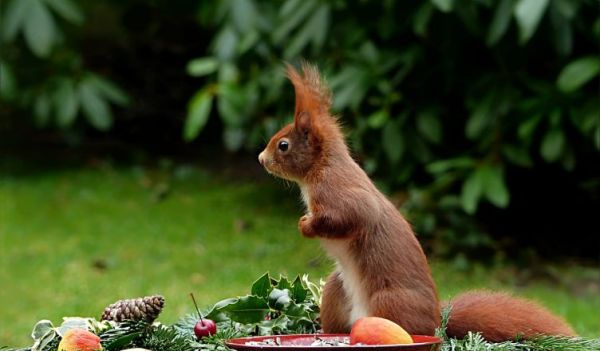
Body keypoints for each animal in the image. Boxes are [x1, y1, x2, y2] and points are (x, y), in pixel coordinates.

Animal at [258, 64, 576, 344]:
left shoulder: (338, 190)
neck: (319, 168)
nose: (261, 159)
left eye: (283, 145)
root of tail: (437, 325)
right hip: (337, 291)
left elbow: (351, 216)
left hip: (389, 301)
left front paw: (306, 225)